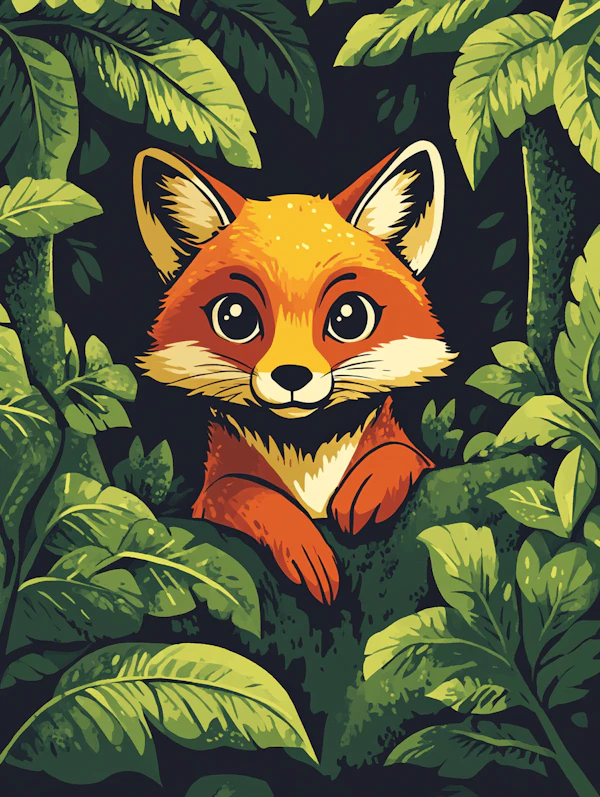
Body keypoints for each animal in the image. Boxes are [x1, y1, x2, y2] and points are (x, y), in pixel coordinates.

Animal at [133, 142, 456, 605]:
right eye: (234, 316)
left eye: (349, 316)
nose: (291, 375)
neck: (306, 454)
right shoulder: (209, 495)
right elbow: (247, 493)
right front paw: (303, 547)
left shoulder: (411, 449)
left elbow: (402, 453)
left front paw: (367, 488)